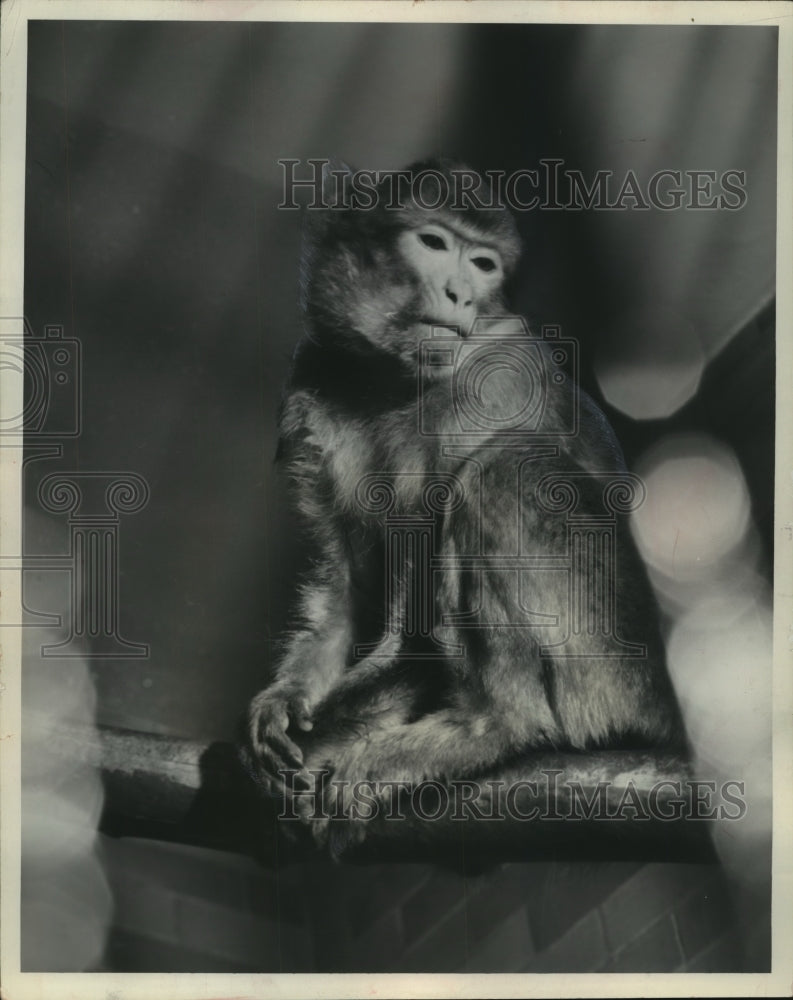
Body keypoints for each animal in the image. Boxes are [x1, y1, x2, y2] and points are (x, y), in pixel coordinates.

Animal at [244, 160, 684, 848]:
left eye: (483, 264)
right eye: (433, 243)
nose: (460, 294)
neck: (385, 380)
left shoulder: (492, 378)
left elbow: (417, 632)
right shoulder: (309, 386)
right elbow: (346, 588)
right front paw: (283, 706)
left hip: (616, 667)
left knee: (499, 471)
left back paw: (495, 725)